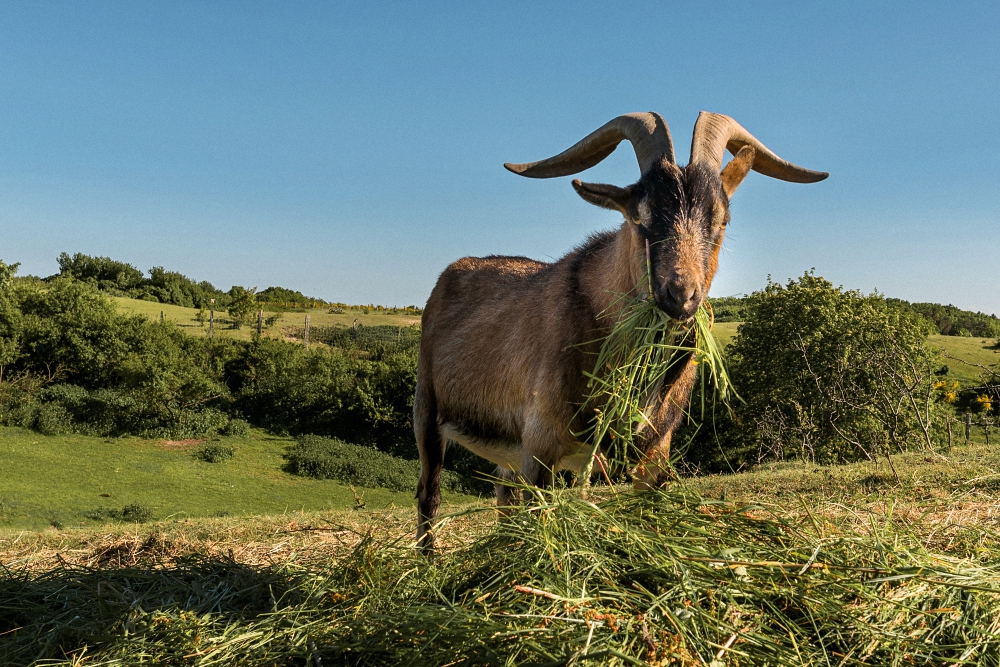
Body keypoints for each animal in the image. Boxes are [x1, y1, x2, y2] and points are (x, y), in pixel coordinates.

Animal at [414, 112, 828, 548]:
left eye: (721, 219)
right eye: (638, 216)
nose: (680, 295)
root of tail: (449, 275)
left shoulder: (654, 451)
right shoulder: (540, 445)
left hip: (507, 451)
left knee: (503, 498)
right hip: (427, 409)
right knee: (430, 493)